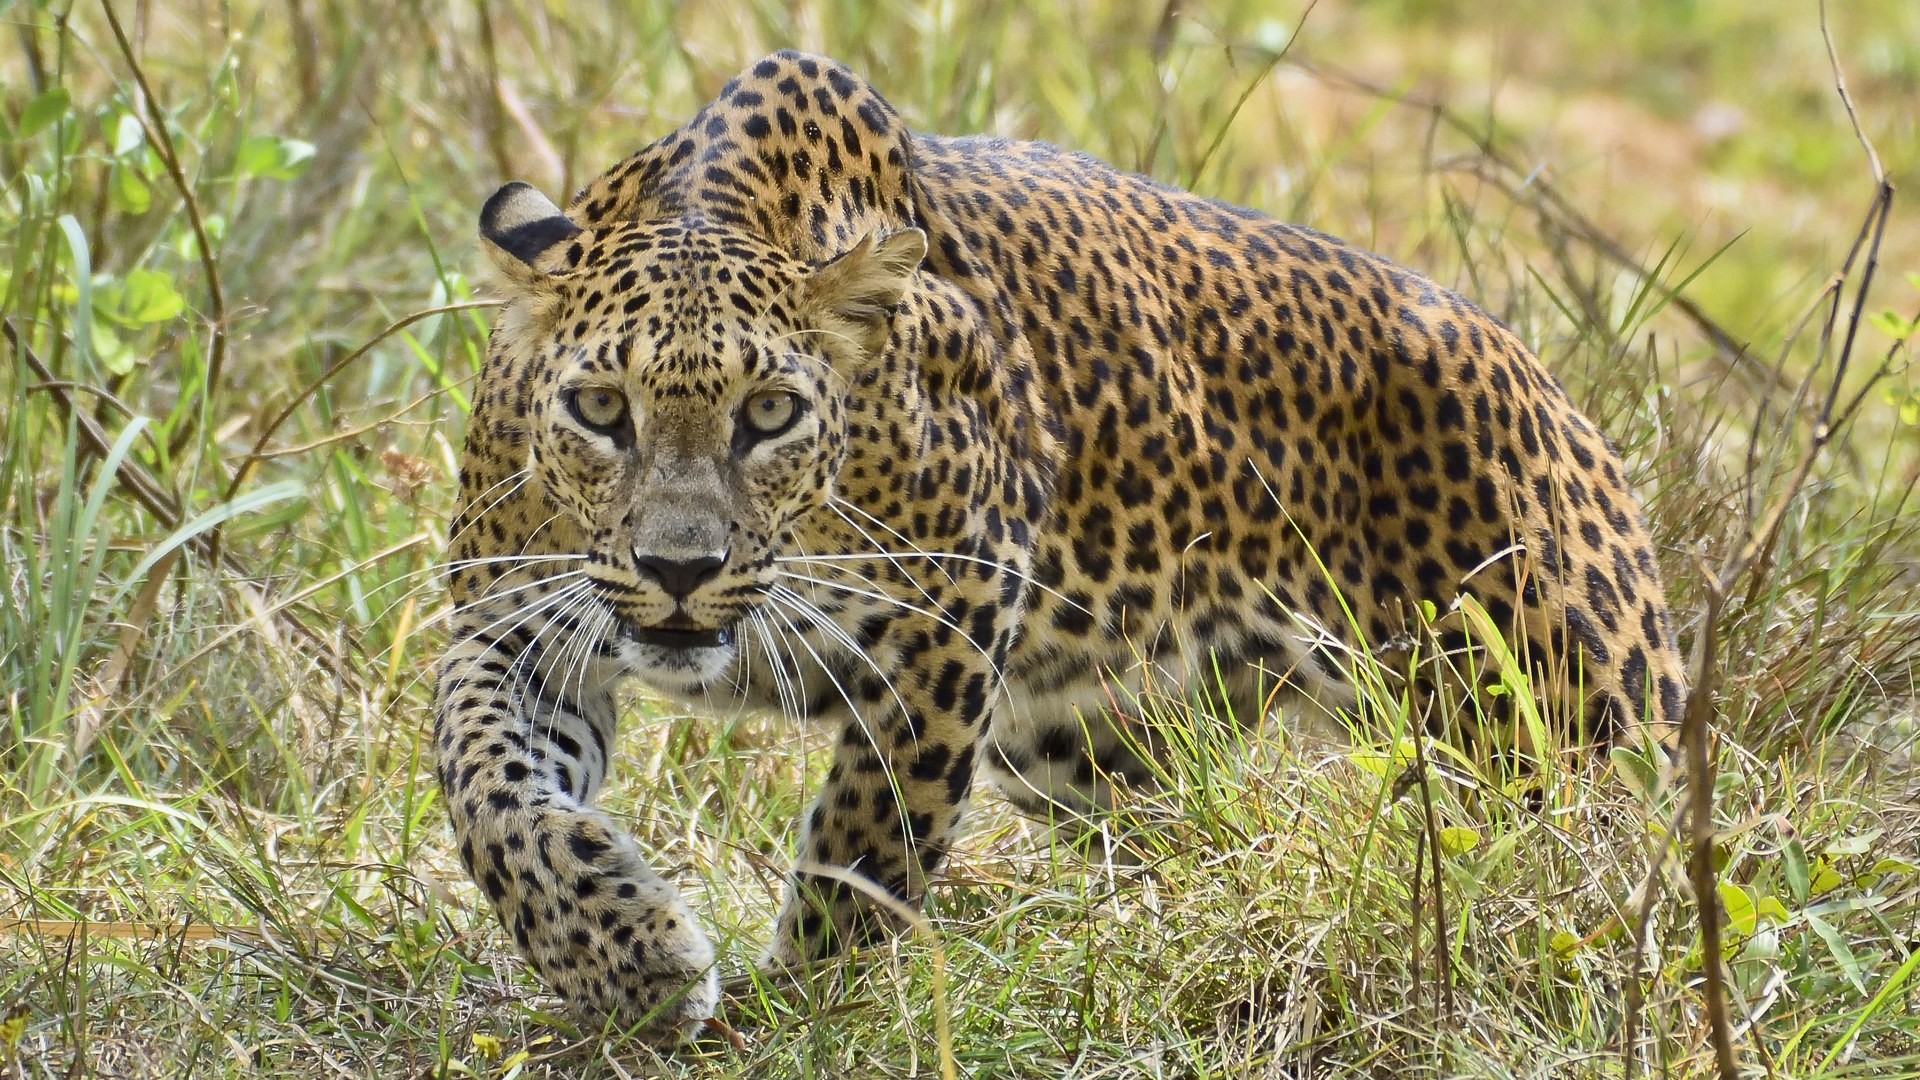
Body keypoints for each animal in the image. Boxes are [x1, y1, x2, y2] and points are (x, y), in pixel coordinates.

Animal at [432, 50, 1684, 1042]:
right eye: (601, 410)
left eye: (771, 414)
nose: (680, 572)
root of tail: (1545, 380)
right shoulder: (510, 622)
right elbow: (489, 791)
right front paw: (627, 962)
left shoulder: (952, 614)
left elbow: (871, 837)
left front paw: (795, 1007)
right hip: (1088, 744)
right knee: (1195, 834)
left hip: (1566, 723)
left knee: (1627, 867)